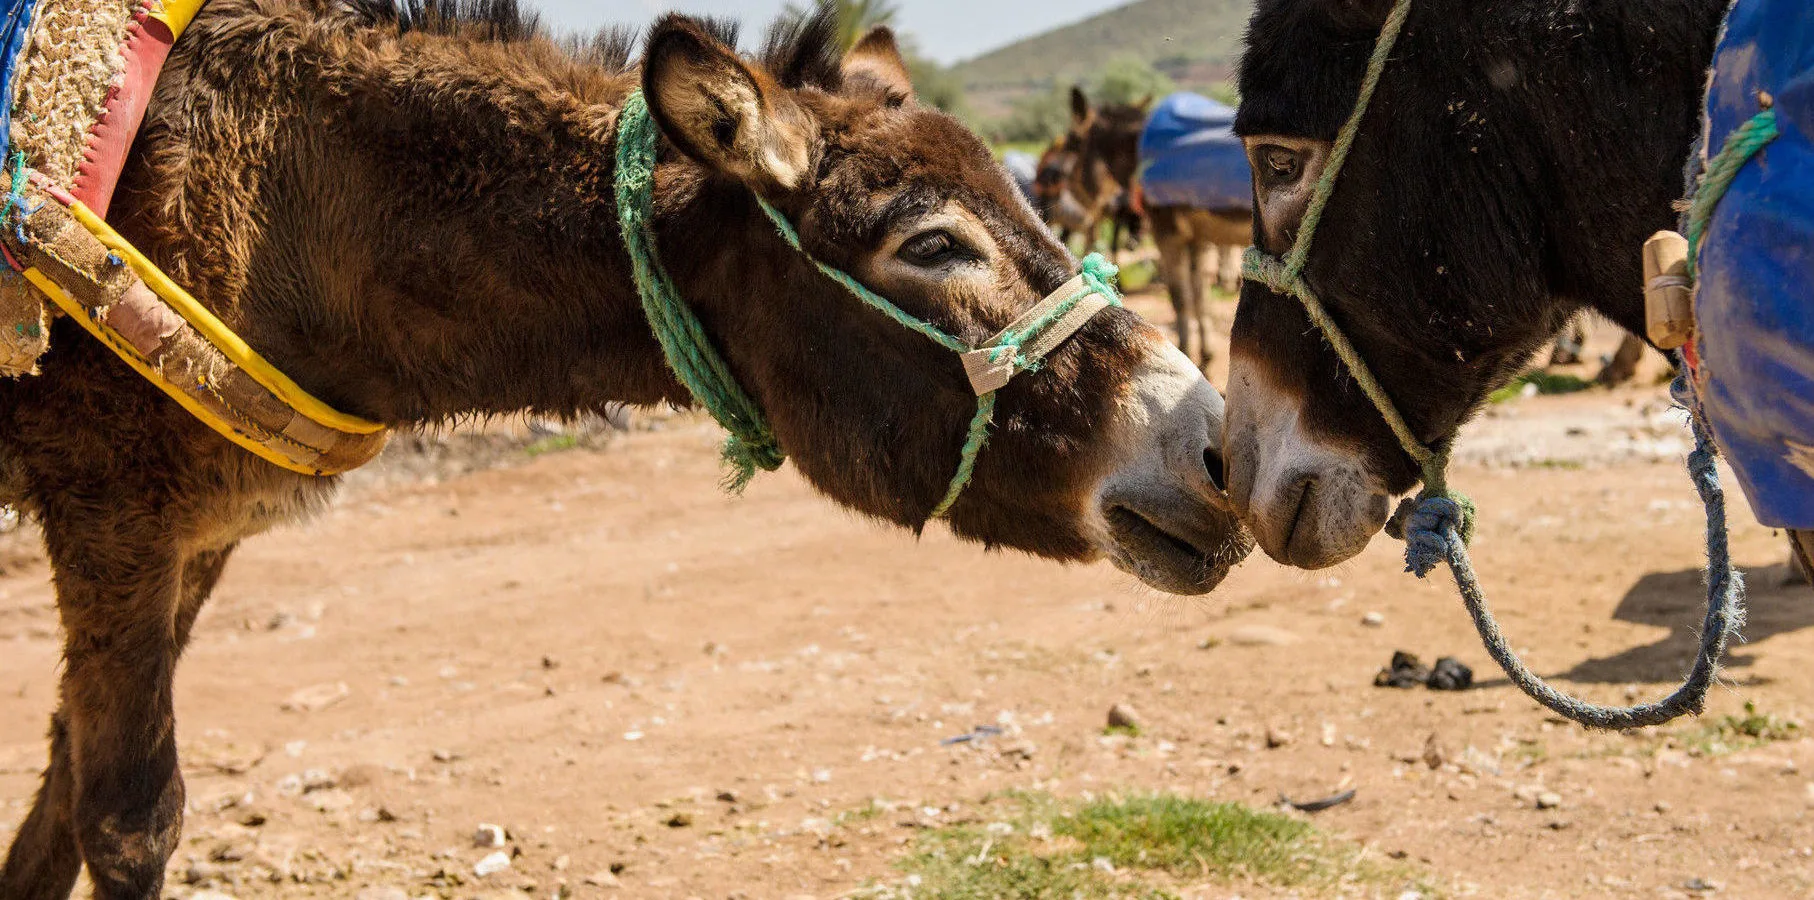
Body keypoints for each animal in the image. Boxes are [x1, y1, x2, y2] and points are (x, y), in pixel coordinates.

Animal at [0, 1, 1250, 896]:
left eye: (1038, 207)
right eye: (934, 245)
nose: (1221, 457)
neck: (285, 195)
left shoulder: (201, 535)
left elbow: (56, 803)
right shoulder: (117, 510)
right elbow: (123, 819)